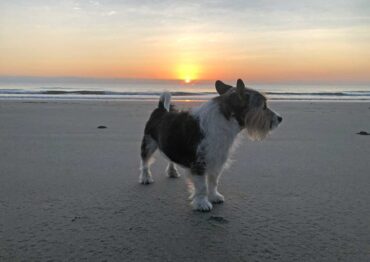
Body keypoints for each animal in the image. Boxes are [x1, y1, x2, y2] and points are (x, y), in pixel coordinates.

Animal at [140, 79, 282, 212]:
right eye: (264, 106)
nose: (280, 118)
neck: (225, 120)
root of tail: (161, 110)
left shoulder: (217, 161)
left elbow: (213, 182)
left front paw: (214, 196)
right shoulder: (199, 163)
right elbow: (202, 186)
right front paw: (202, 203)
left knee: (170, 158)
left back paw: (172, 172)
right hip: (148, 143)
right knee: (145, 162)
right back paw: (146, 178)